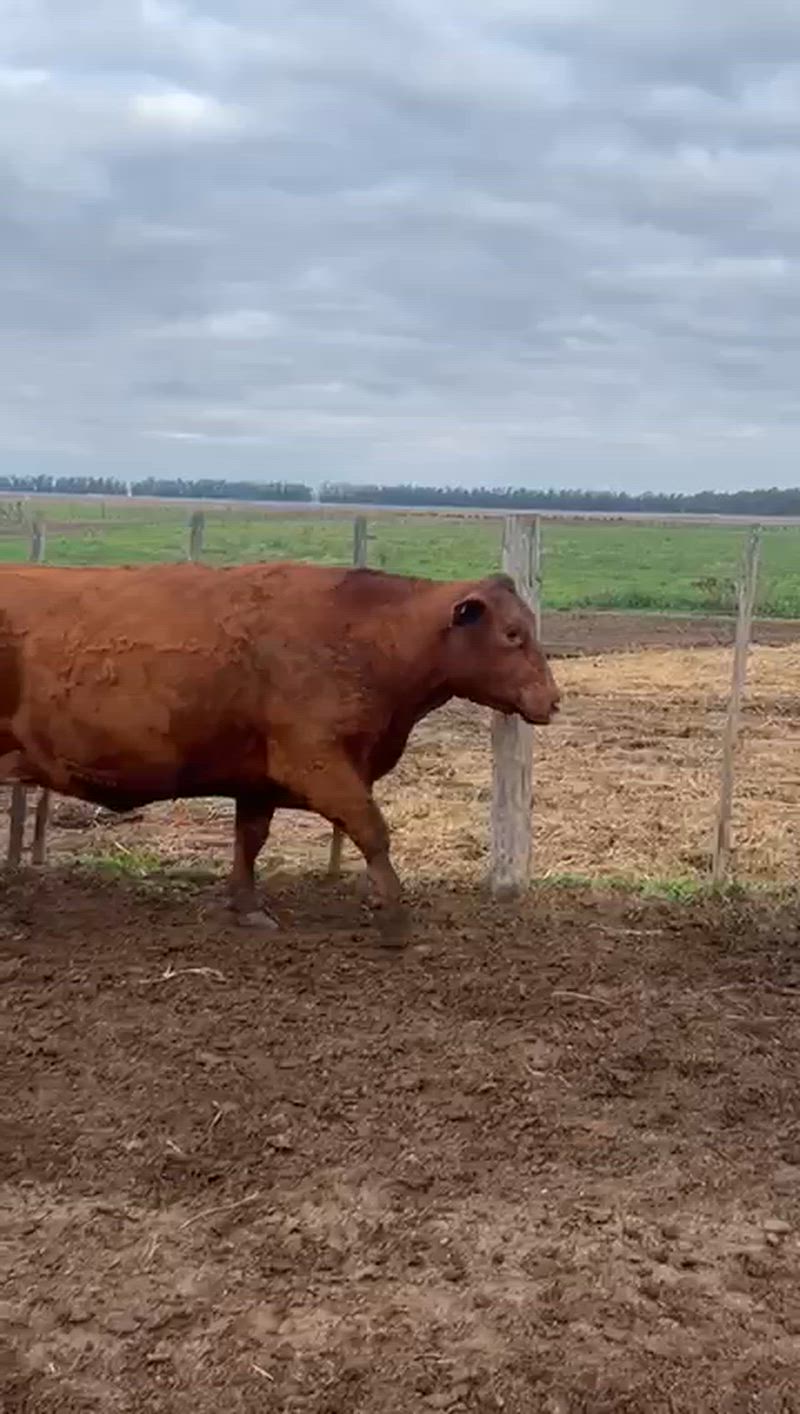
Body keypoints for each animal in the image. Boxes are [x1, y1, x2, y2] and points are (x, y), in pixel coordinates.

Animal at [0, 561, 560, 939]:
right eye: (513, 634)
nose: (553, 699)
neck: (364, 639)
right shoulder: (316, 761)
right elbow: (372, 831)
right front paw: (396, 919)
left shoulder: (259, 778)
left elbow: (250, 839)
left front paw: (247, 907)